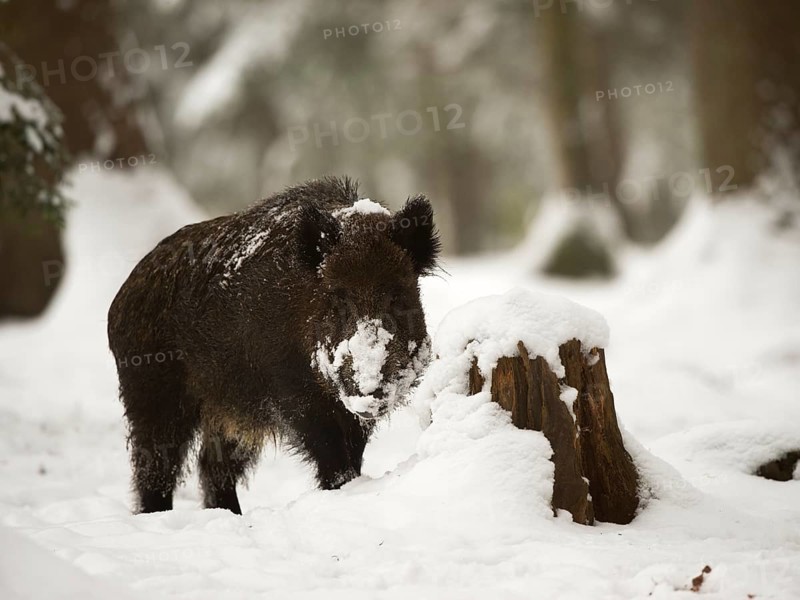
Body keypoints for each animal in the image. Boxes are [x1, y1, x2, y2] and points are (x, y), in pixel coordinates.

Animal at [107, 176, 439, 514]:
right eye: (337, 297)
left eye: (397, 296)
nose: (369, 387)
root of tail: (123, 295)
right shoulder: (291, 392)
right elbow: (330, 450)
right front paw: (340, 489)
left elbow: (354, 452)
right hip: (152, 394)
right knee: (156, 467)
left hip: (230, 411)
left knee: (212, 465)